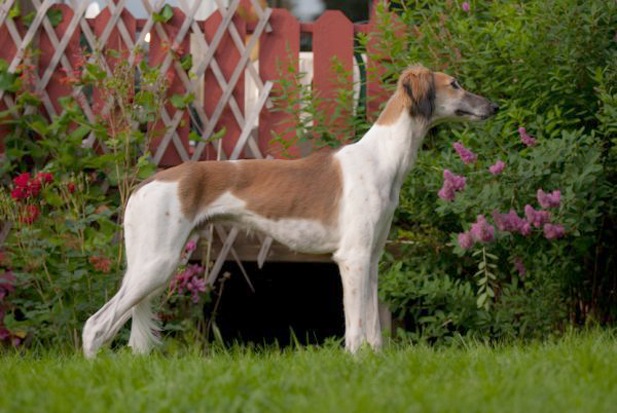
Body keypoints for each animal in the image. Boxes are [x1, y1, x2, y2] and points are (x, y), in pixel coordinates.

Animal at [83, 66, 496, 356]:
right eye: (456, 84)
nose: (494, 106)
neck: (382, 158)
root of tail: (148, 183)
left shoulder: (372, 258)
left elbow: (374, 332)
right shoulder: (352, 259)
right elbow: (355, 330)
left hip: (157, 264)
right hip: (157, 264)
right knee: (94, 327)